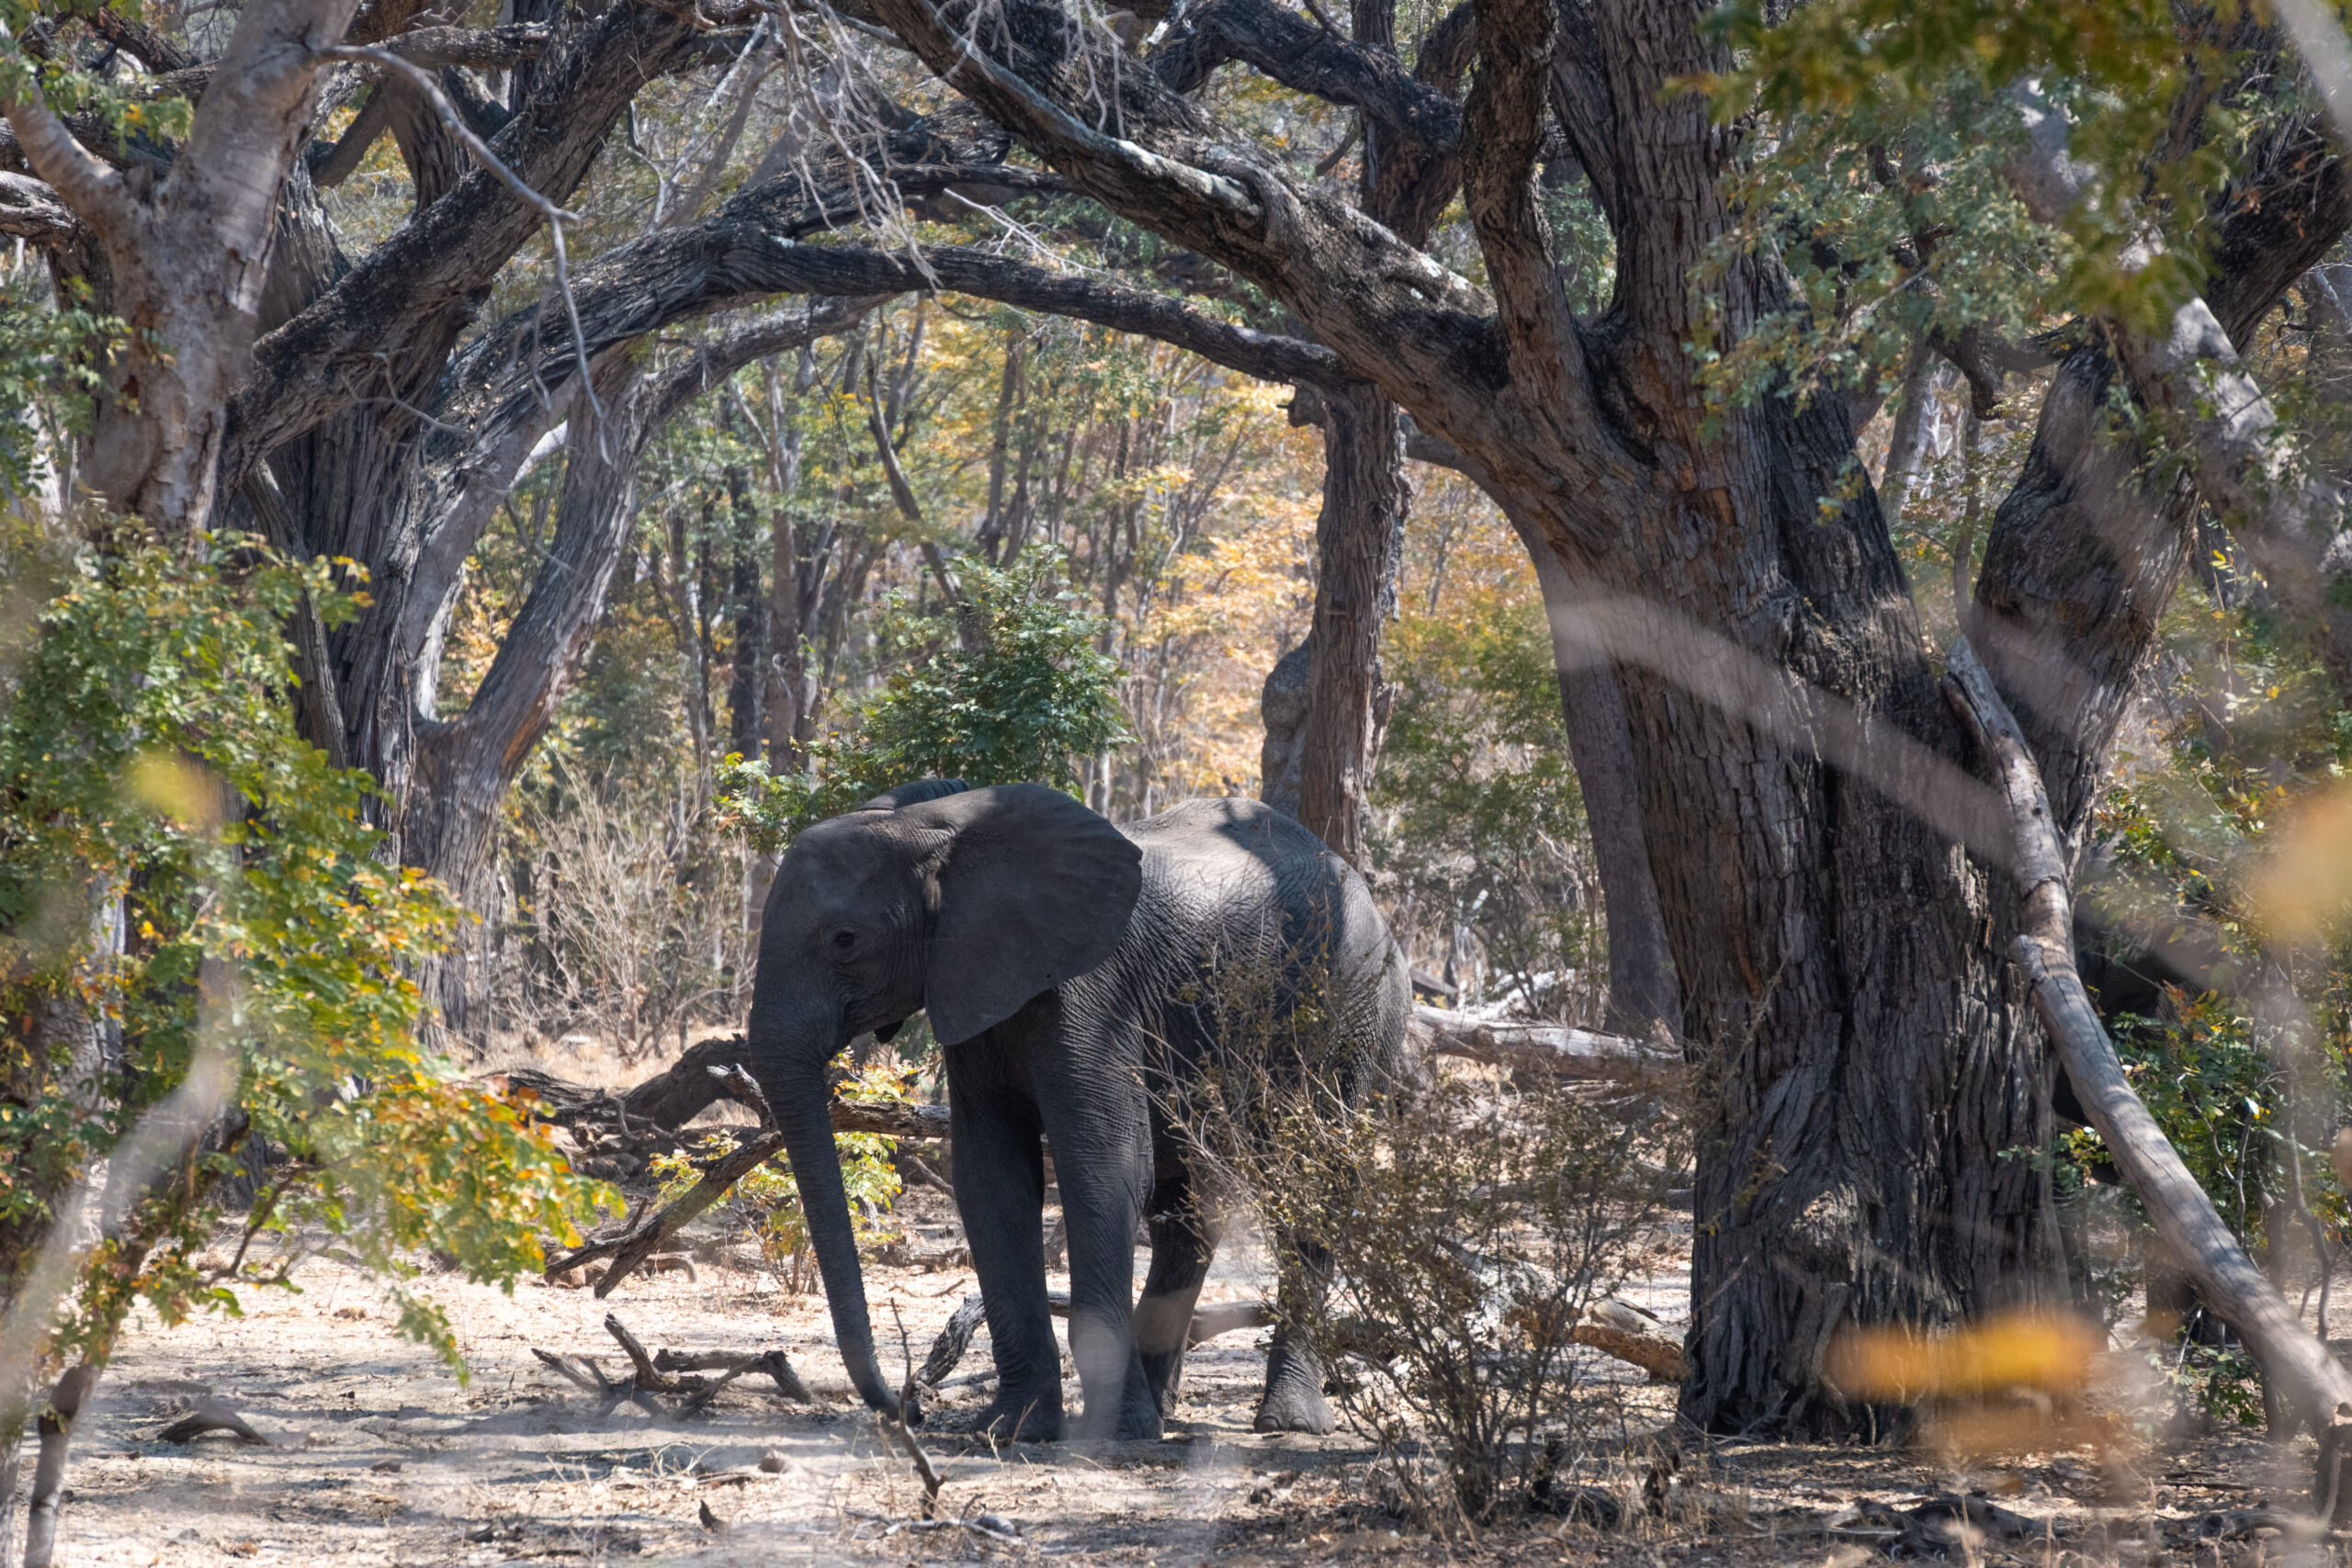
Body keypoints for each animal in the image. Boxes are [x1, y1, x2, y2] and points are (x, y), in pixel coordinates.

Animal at [744, 778, 1410, 1442]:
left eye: (844, 941)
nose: (912, 1407)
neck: (936, 826)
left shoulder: (1094, 993)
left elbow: (1101, 1163)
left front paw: (1108, 1432)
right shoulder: (975, 990)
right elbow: (991, 1178)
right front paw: (1012, 1428)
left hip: (1346, 1012)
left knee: (1312, 1180)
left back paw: (1285, 1423)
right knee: (1187, 1211)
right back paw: (1161, 1413)